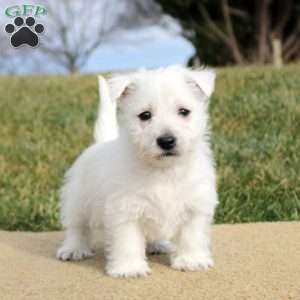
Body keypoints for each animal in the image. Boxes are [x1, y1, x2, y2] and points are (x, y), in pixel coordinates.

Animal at [56, 65, 218, 276]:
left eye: (184, 111)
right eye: (145, 115)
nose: (166, 141)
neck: (163, 171)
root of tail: (99, 143)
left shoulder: (195, 205)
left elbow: (192, 235)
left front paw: (191, 260)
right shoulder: (125, 209)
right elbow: (128, 241)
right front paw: (129, 268)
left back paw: (158, 244)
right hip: (78, 200)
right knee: (77, 227)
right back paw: (73, 249)